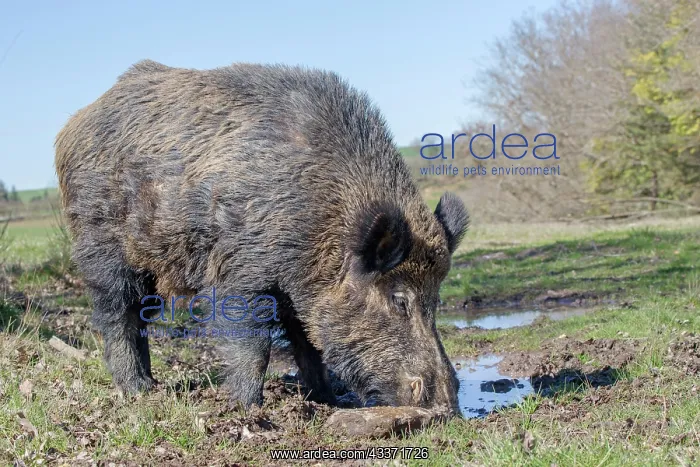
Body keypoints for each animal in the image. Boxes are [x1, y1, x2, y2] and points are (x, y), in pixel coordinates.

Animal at [54, 60, 470, 414]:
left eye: (436, 299)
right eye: (399, 299)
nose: (448, 409)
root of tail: (70, 128)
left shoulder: (300, 293)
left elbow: (309, 344)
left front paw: (328, 400)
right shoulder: (240, 275)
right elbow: (255, 348)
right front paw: (249, 409)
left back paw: (152, 386)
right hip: (102, 244)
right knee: (117, 312)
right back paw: (137, 390)